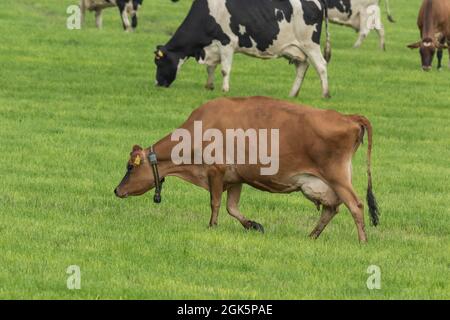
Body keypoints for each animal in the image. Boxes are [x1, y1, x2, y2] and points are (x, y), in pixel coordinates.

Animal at [156, 0, 334, 99]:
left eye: (158, 62)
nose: (158, 83)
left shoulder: (227, 43)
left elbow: (224, 70)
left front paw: (224, 90)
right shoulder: (213, 47)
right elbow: (211, 68)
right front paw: (209, 86)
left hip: (310, 44)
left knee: (321, 66)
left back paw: (325, 94)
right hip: (296, 49)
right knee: (302, 67)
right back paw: (292, 94)